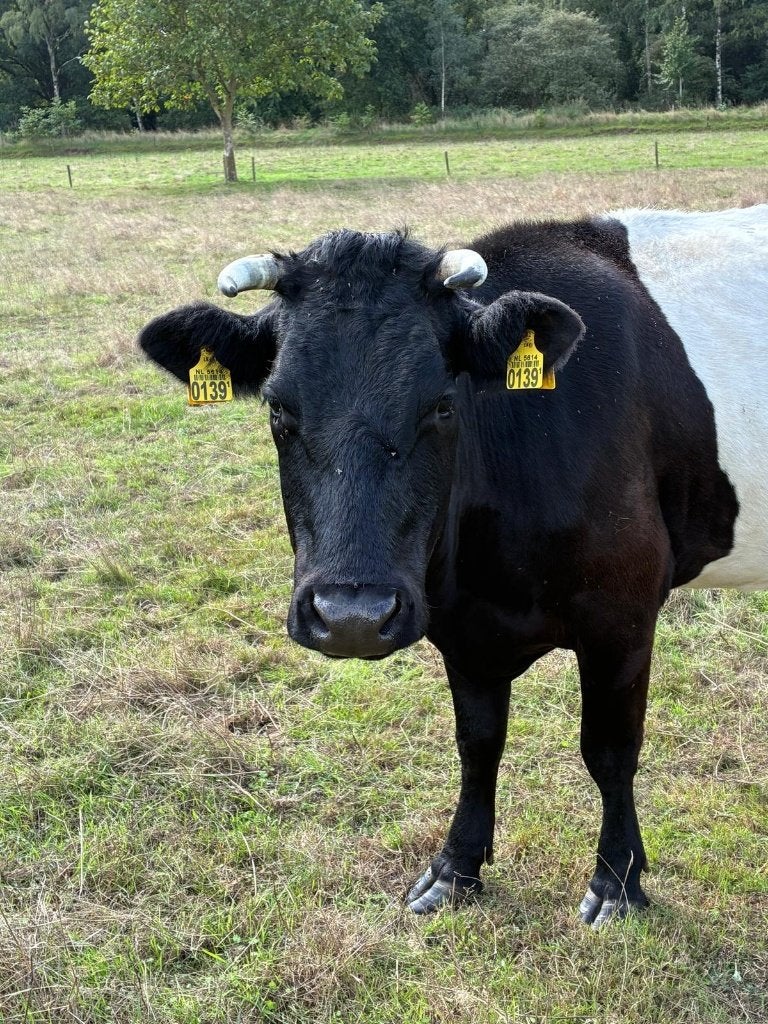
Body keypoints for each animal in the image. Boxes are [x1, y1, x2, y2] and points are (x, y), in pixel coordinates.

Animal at [138, 205, 768, 927]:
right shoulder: (459, 626)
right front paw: (454, 868)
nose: (352, 617)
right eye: (277, 407)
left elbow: (609, 752)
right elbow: (477, 743)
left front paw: (617, 882)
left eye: (442, 404)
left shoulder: (624, 612)